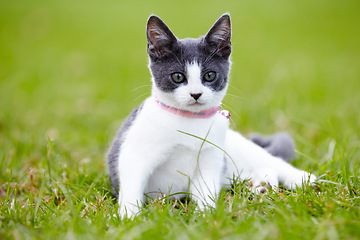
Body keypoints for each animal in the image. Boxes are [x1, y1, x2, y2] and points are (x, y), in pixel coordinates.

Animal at [107, 14, 316, 218]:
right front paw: (129, 217)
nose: (196, 94)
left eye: (209, 75)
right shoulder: (134, 155)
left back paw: (298, 179)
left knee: (272, 161)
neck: (189, 122)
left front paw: (205, 217)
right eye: (177, 77)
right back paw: (261, 186)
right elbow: (132, 187)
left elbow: (206, 190)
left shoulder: (210, 159)